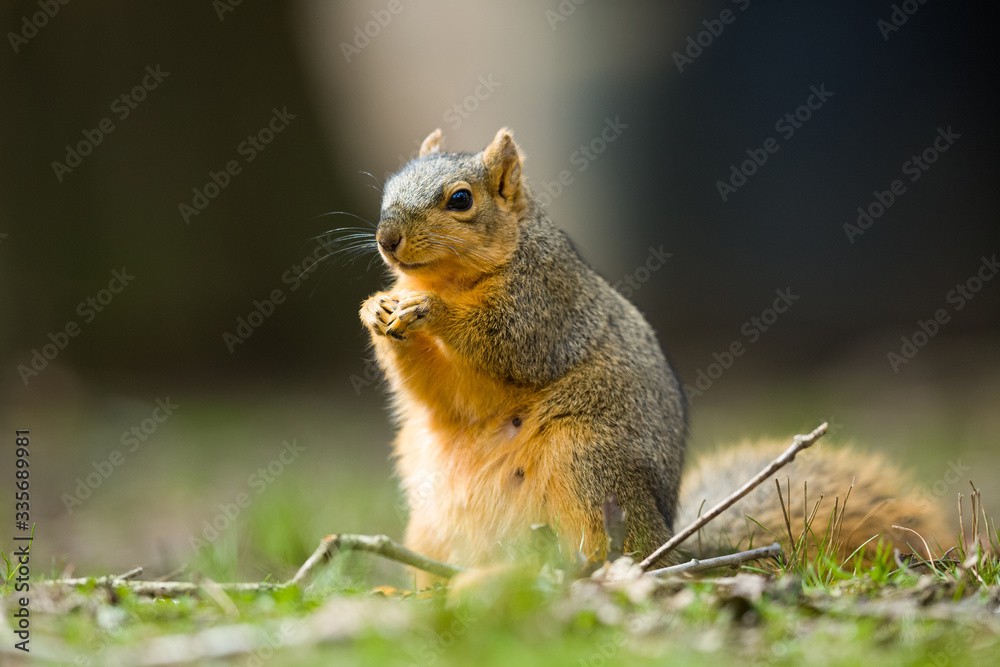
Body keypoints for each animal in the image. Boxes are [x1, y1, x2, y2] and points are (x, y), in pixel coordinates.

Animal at [359, 128, 951, 581]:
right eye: (388, 187)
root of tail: (671, 540)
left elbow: (509, 342)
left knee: (619, 552)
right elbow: (440, 396)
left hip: (588, 465)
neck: (456, 276)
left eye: (461, 200)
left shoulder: (548, 302)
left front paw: (428, 308)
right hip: (434, 521)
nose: (387, 238)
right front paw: (376, 310)